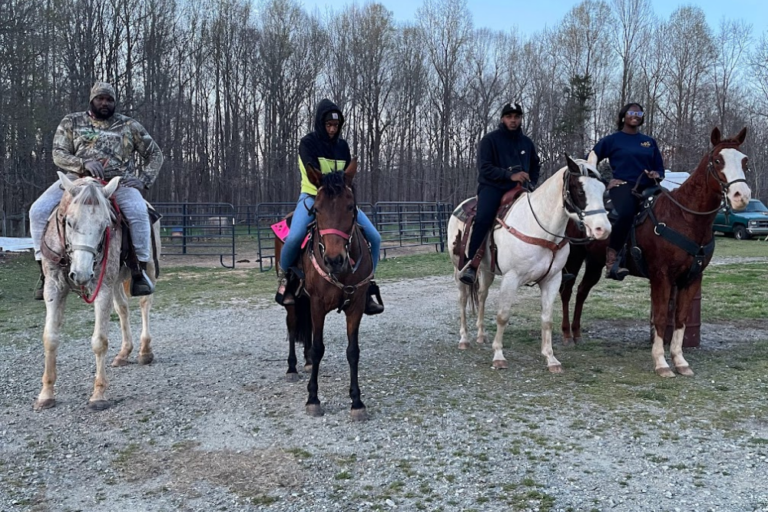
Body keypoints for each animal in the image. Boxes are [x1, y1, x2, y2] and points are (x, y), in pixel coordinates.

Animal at [34, 172, 160, 411]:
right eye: (69, 222)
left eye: (105, 225)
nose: (82, 274)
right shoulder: (54, 288)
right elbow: (50, 338)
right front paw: (46, 394)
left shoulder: (102, 288)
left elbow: (99, 341)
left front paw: (98, 395)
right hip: (117, 280)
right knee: (122, 309)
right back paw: (124, 353)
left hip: (144, 268)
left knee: (145, 304)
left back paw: (144, 351)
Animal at [274, 160, 373, 420]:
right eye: (316, 210)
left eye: (351, 207)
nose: (334, 260)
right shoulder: (318, 303)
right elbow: (319, 348)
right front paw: (313, 399)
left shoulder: (356, 305)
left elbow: (353, 351)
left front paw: (356, 401)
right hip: (294, 301)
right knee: (292, 325)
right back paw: (292, 367)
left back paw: (307, 360)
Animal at [448, 155, 611, 372]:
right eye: (580, 190)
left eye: (603, 190)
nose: (603, 229)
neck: (539, 228)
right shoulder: (511, 278)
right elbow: (503, 315)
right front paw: (498, 355)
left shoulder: (552, 280)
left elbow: (547, 319)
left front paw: (551, 358)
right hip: (458, 269)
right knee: (463, 299)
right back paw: (464, 339)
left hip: (486, 270)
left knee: (482, 295)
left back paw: (481, 335)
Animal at [559, 127, 751, 377]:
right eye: (718, 160)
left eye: (745, 161)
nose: (741, 196)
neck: (685, 218)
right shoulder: (661, 277)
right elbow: (660, 318)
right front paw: (661, 363)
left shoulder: (692, 278)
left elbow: (680, 319)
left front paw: (680, 361)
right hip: (574, 256)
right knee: (566, 291)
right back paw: (566, 334)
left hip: (595, 262)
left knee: (582, 291)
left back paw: (577, 333)